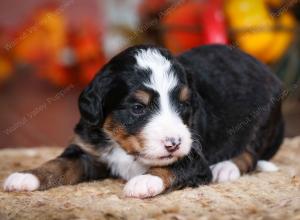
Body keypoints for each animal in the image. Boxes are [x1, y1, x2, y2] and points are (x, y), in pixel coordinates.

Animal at [2, 44, 284, 198]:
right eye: (138, 108)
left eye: (183, 104)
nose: (173, 143)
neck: (125, 148)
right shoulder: (86, 150)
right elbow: (57, 164)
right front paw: (26, 176)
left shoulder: (194, 158)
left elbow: (172, 167)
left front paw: (145, 181)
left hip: (262, 120)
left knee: (250, 154)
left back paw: (225, 168)